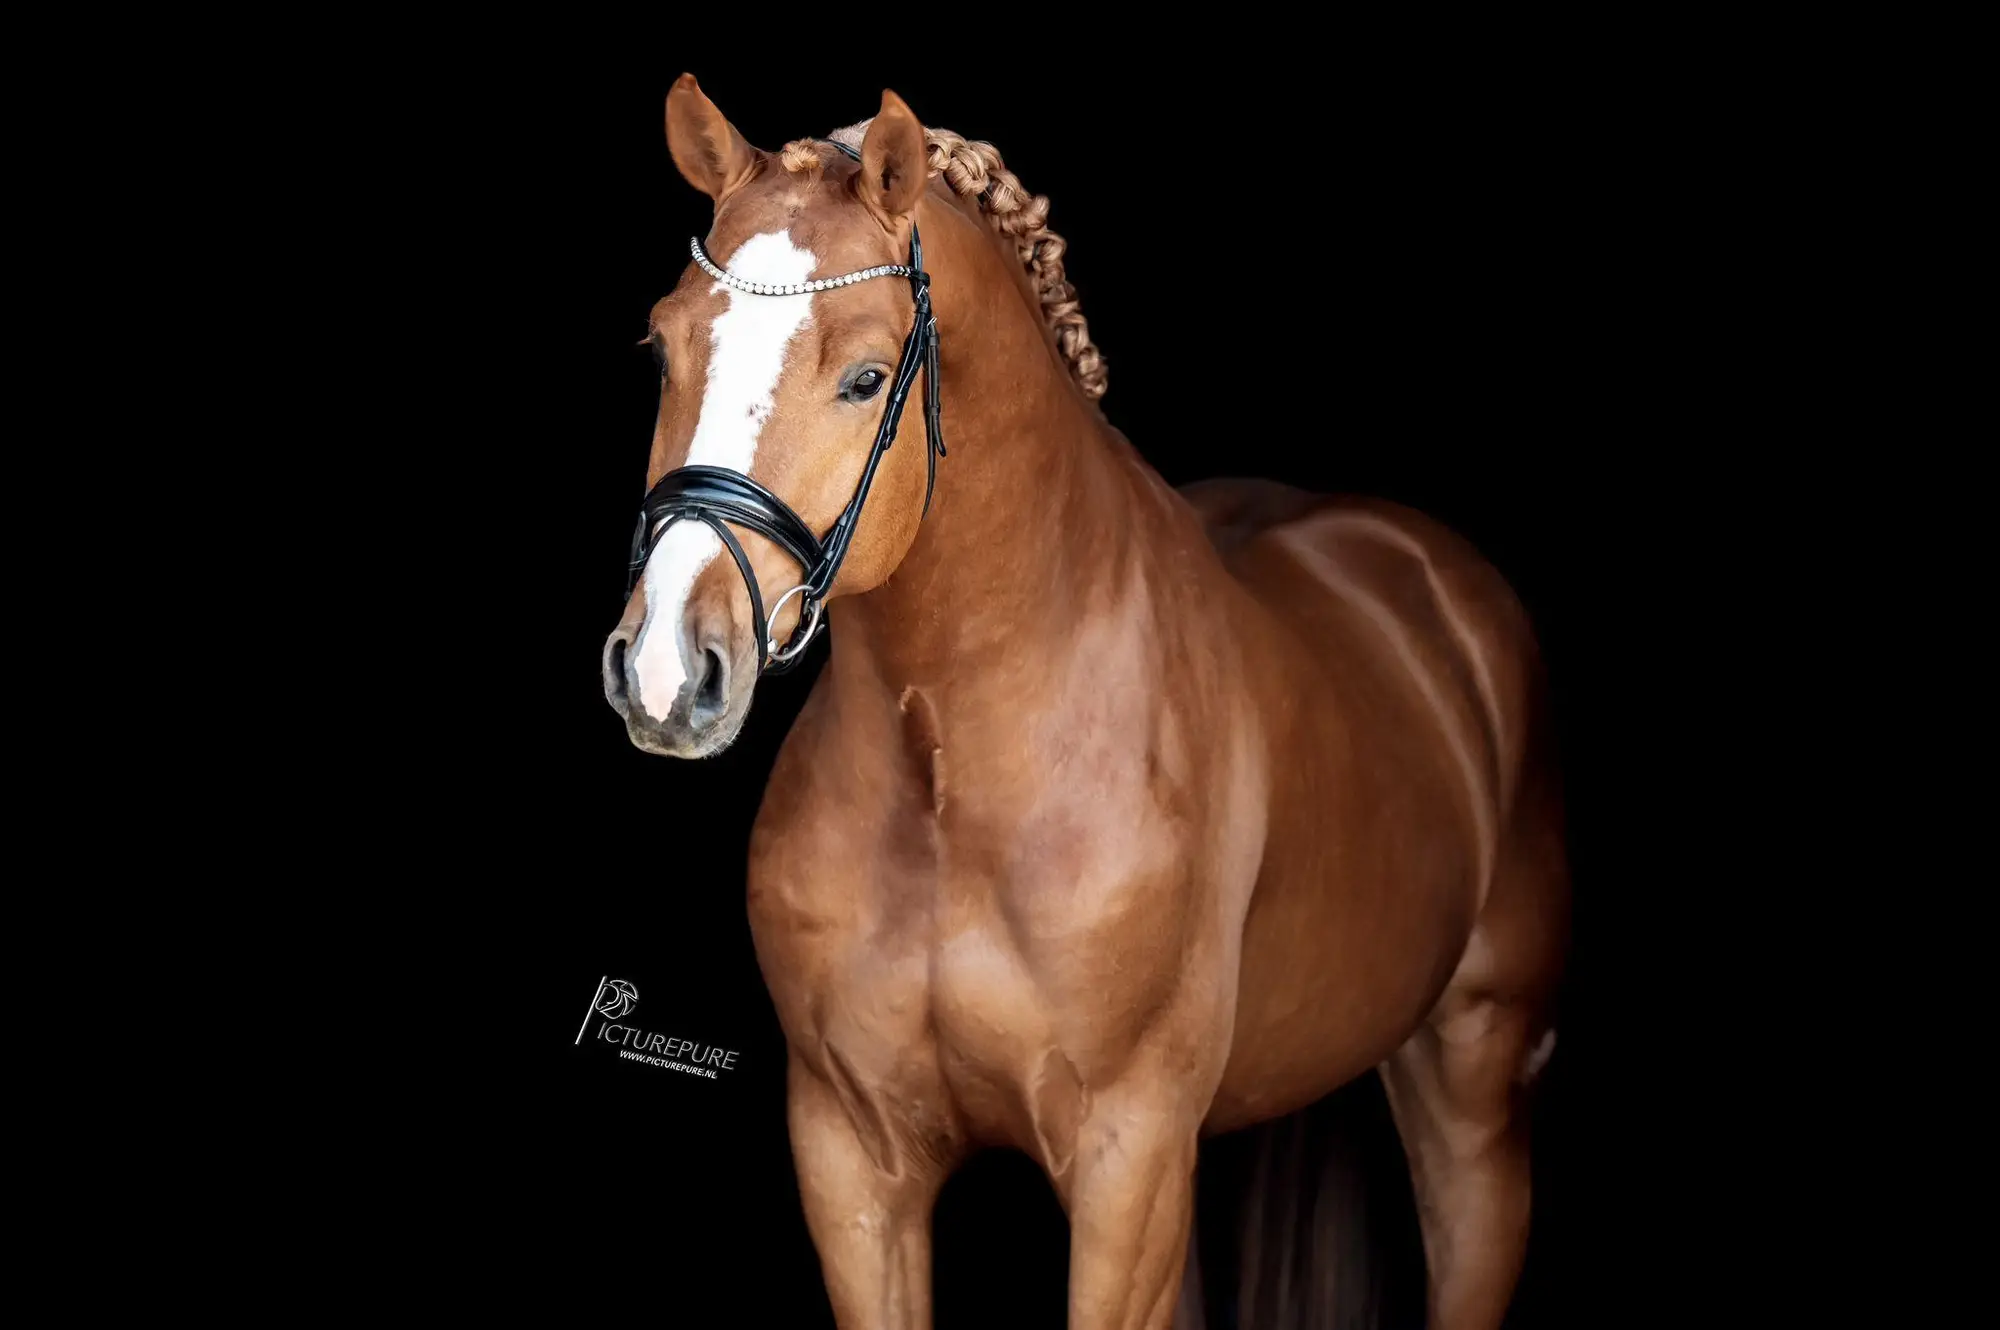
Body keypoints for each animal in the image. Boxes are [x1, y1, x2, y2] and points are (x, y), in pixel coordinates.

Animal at [601, 75, 1570, 1330]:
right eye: (661, 347)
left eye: (863, 377)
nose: (668, 668)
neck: (953, 769)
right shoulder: (852, 1159)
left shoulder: (1127, 1158)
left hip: (1472, 1099)